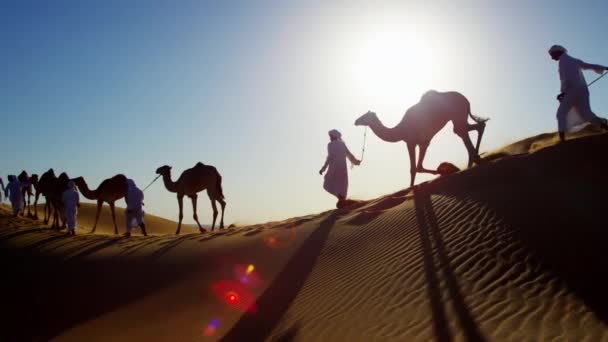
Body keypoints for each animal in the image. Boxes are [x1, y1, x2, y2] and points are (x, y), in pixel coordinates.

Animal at [354, 90, 486, 187]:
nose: (356, 121)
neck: (400, 130)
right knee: (475, 127)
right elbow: (418, 167)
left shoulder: (411, 142)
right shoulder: (424, 142)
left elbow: (415, 168)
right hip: (459, 117)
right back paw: (474, 160)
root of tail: (465, 99)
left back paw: (473, 161)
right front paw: (446, 170)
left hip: (458, 114)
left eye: (365, 116)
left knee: (463, 132)